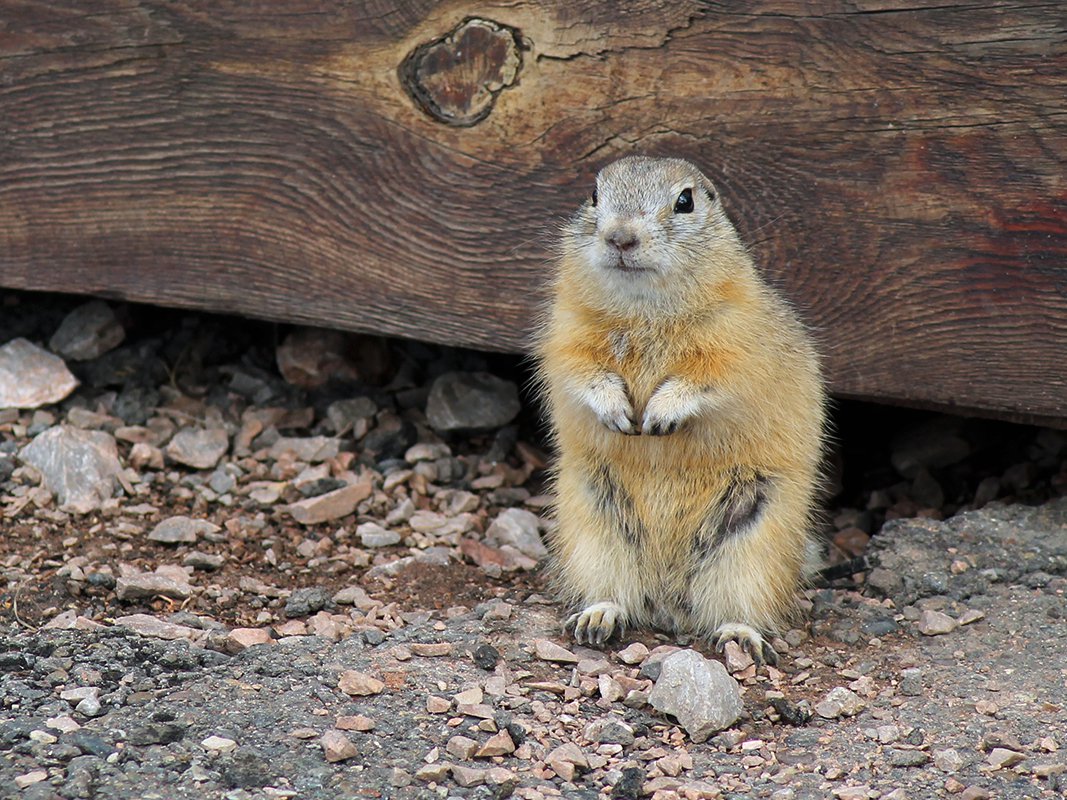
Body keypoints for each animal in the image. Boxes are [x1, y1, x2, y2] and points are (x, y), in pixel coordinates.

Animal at [537, 154, 827, 665]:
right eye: (594, 194)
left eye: (685, 201)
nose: (620, 237)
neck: (644, 309)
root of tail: (669, 605)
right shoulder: (567, 333)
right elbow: (582, 371)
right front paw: (619, 414)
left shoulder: (734, 343)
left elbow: (708, 380)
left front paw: (658, 417)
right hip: (593, 532)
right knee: (612, 590)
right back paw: (596, 618)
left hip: (753, 551)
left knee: (742, 605)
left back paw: (739, 637)